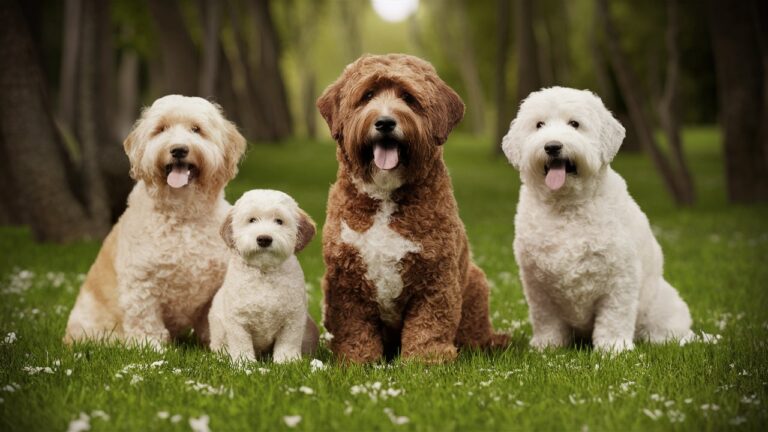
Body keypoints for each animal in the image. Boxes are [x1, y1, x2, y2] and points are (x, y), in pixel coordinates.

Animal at [66, 94, 248, 348]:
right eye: (161, 129)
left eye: (196, 129)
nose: (179, 149)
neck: (182, 215)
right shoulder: (141, 281)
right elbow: (144, 318)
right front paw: (150, 345)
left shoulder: (216, 285)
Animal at [207, 189, 318, 362]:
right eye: (252, 220)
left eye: (279, 221)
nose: (264, 239)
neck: (264, 273)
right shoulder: (237, 321)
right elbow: (241, 345)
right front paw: (243, 363)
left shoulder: (293, 319)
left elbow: (288, 343)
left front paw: (286, 361)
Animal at [500, 87, 692, 352]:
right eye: (539, 125)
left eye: (574, 124)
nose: (552, 146)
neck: (567, 207)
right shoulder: (538, 286)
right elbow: (546, 319)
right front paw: (547, 345)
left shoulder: (620, 278)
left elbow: (614, 316)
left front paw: (614, 348)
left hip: (660, 307)